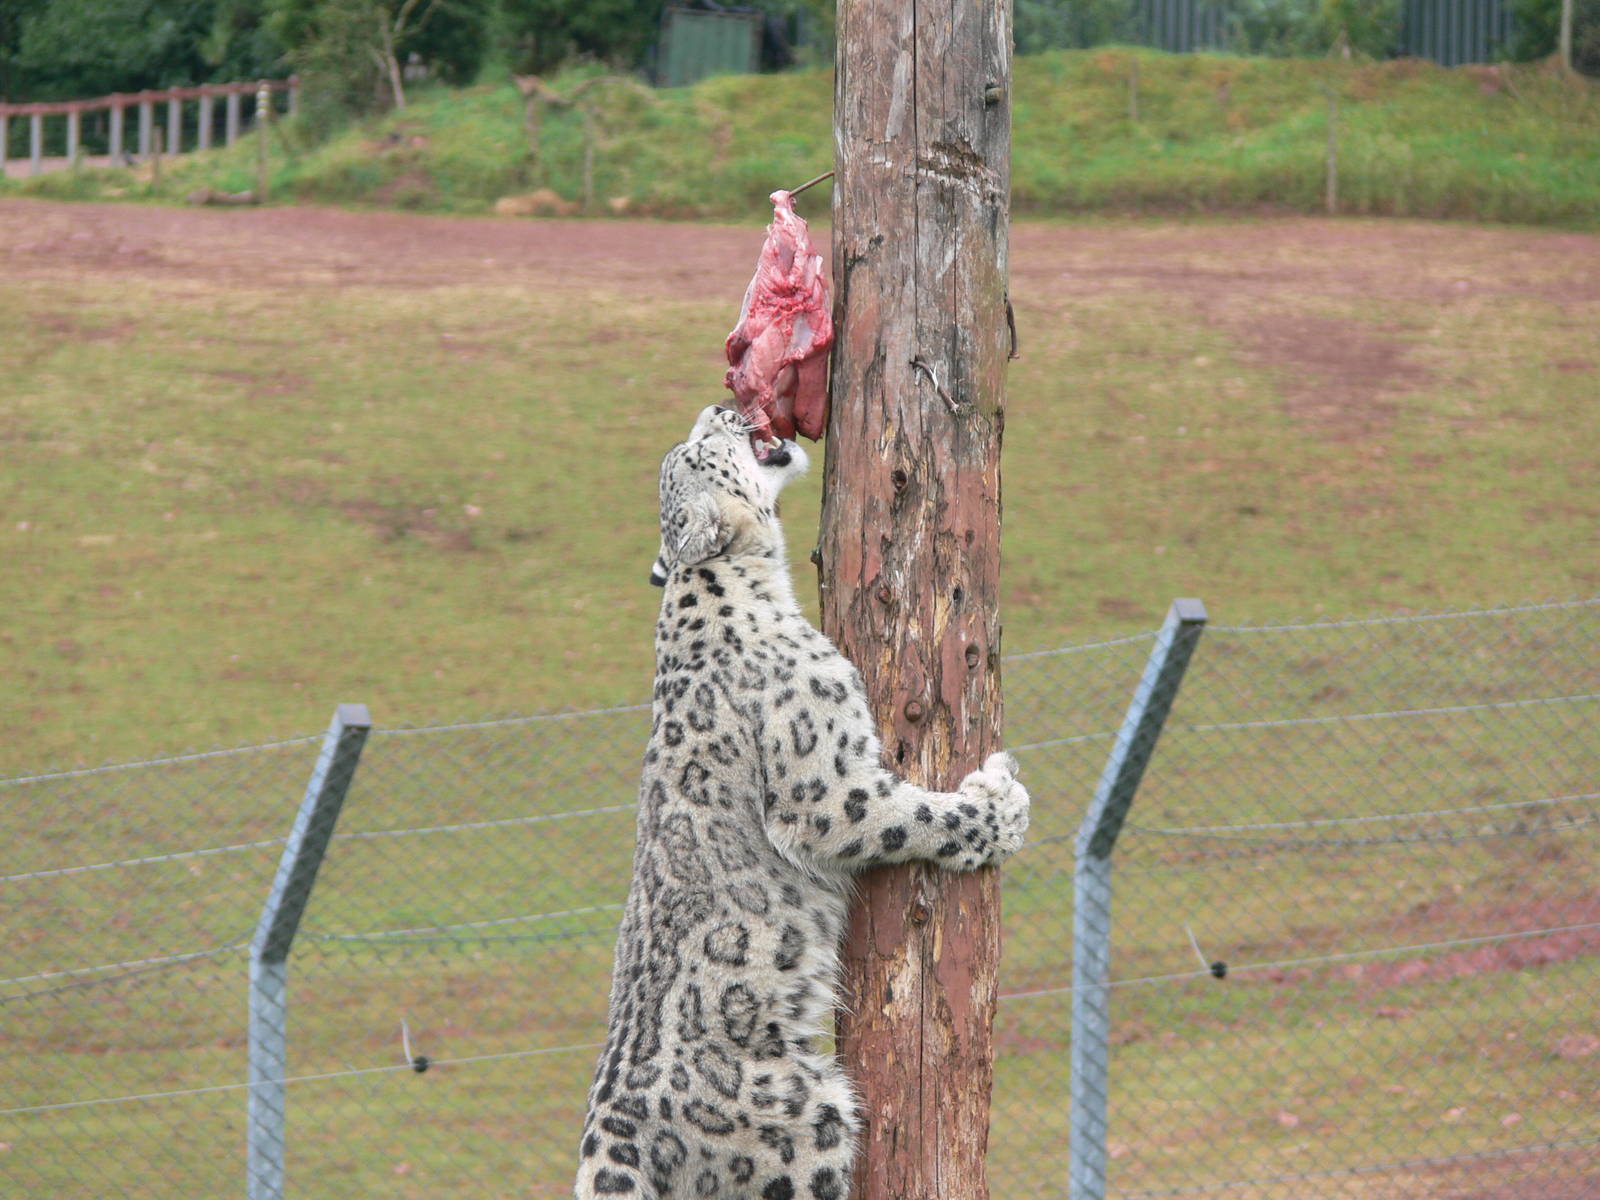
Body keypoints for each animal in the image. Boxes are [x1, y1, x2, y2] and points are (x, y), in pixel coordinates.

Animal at [574, 404, 1030, 1200]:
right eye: (706, 448)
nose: (721, 407)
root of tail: (610, 1127)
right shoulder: (827, 788)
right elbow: (912, 816)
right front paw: (999, 807)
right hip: (803, 1121)